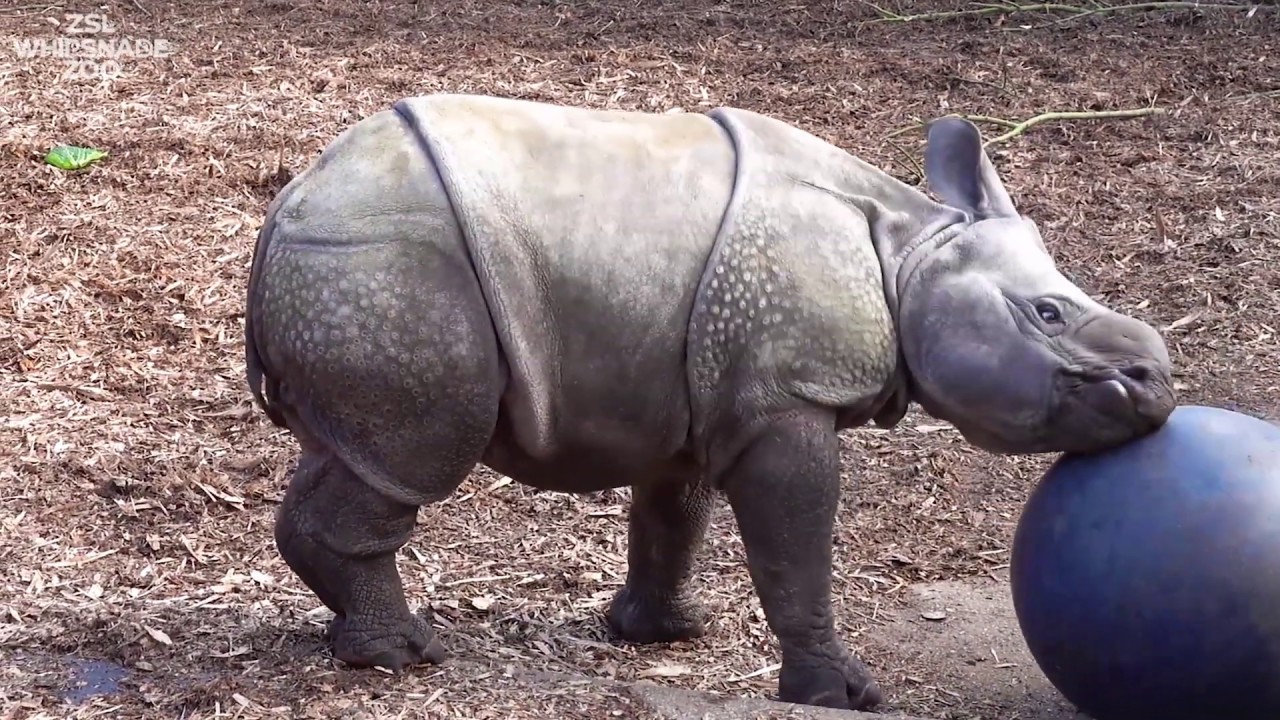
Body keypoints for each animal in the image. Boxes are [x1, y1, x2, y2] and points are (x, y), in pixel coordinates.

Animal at [243, 93, 1176, 711]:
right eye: (1048, 314)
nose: (1156, 381)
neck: (909, 253)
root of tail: (283, 208)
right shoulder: (787, 398)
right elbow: (795, 543)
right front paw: (839, 692)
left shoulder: (695, 398)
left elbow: (673, 515)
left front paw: (666, 633)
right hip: (383, 269)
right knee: (410, 457)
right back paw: (402, 656)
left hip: (357, 273)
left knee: (349, 450)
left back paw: (365, 642)